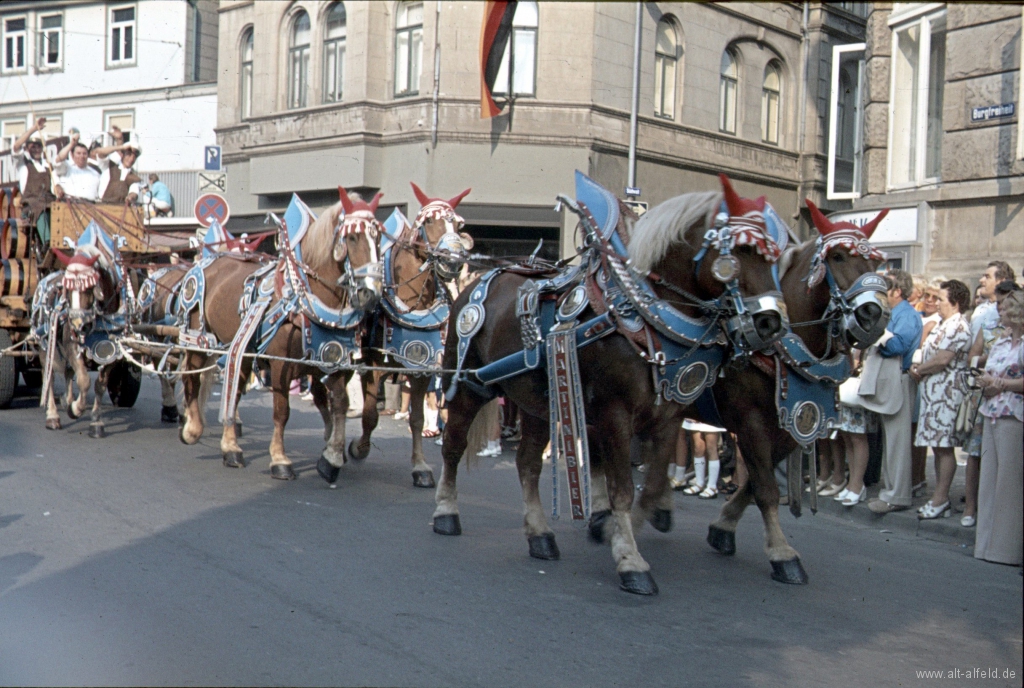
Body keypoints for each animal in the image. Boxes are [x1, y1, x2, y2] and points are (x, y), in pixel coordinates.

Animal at [176, 188, 385, 479]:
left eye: (378, 238)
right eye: (352, 237)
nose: (371, 294)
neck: (304, 298)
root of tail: (207, 262)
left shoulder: (331, 360)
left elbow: (339, 404)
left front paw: (332, 457)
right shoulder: (280, 364)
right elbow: (282, 411)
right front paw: (280, 459)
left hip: (239, 349)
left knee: (234, 391)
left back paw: (231, 448)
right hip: (198, 338)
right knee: (191, 379)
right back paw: (193, 428)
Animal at [344, 180, 471, 487]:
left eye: (458, 224)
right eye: (432, 222)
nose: (454, 261)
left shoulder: (421, 365)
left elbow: (416, 419)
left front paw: (421, 467)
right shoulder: (374, 363)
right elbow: (369, 415)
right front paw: (358, 448)